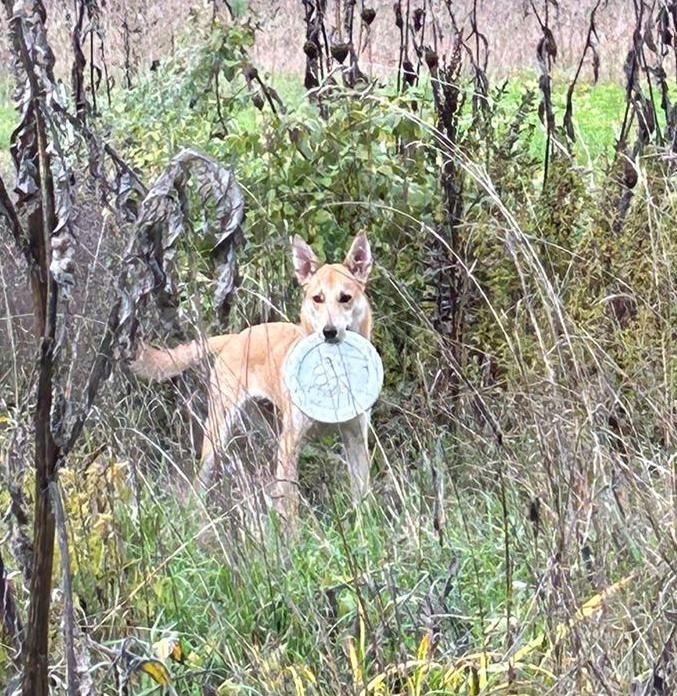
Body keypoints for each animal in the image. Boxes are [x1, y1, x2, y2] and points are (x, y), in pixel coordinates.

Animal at [131, 234, 374, 516]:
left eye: (345, 298)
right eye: (318, 298)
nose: (329, 331)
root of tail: (235, 336)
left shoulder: (356, 438)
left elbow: (362, 498)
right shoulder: (290, 443)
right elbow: (290, 506)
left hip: (266, 431)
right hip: (218, 434)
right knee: (200, 485)